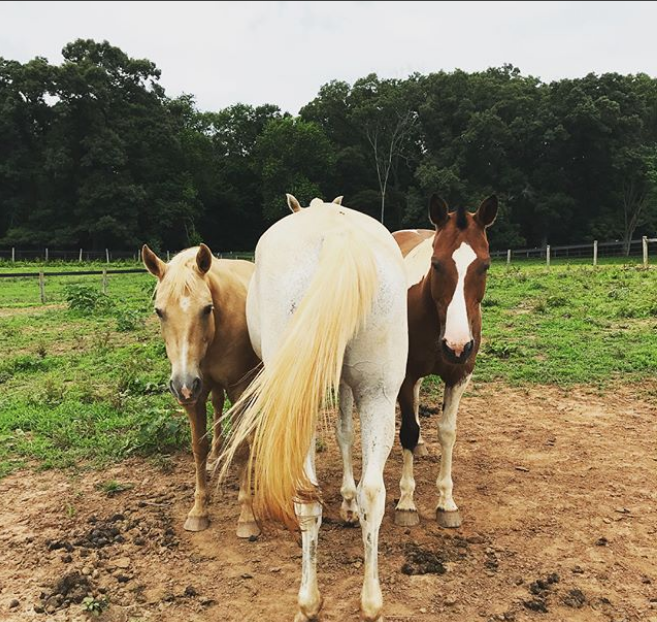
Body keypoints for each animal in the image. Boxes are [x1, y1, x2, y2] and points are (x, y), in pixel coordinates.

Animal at [142, 244, 261, 538]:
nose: (183, 384)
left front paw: (246, 517)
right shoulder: (196, 393)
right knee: (217, 406)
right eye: (159, 311)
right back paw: (217, 455)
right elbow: (198, 447)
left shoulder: (239, 387)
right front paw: (198, 511)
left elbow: (242, 447)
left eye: (207, 309)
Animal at [219, 196, 408, 622]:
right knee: (375, 493)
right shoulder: (347, 381)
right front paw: (349, 504)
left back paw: (308, 600)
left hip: (297, 406)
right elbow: (345, 432)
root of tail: (336, 234)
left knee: (305, 498)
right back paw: (371, 602)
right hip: (379, 392)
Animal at [391, 194, 497, 529]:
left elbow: (448, 433)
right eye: (436, 264)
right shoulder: (406, 374)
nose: (457, 345)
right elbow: (408, 430)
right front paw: (407, 504)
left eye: (485, 265)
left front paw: (447, 503)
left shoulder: (460, 375)